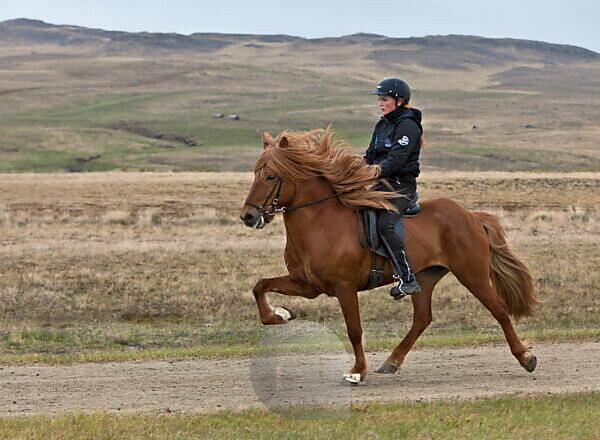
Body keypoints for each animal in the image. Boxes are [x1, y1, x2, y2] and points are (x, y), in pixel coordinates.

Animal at [239, 128, 540, 384]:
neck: (321, 224)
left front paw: (357, 371)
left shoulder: (344, 288)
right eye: (255, 173)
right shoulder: (307, 285)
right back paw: (392, 361)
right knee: (422, 318)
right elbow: (260, 286)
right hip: (424, 277)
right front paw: (279, 315)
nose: (248, 216)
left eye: (270, 176)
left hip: (472, 274)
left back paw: (525, 357)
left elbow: (354, 330)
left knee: (498, 309)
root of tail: (471, 217)